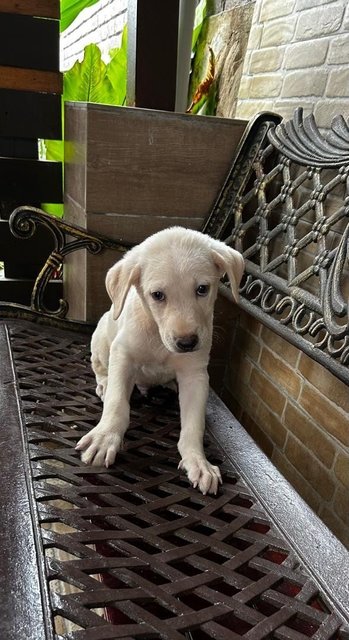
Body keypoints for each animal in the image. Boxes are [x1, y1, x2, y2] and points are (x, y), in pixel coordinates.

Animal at [75, 226, 245, 496]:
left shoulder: (195, 375)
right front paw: (105, 437)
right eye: (157, 295)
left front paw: (198, 461)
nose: (187, 343)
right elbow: (117, 404)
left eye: (202, 289)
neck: (157, 337)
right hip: (102, 338)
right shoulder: (122, 355)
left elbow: (193, 424)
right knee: (99, 367)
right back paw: (103, 383)